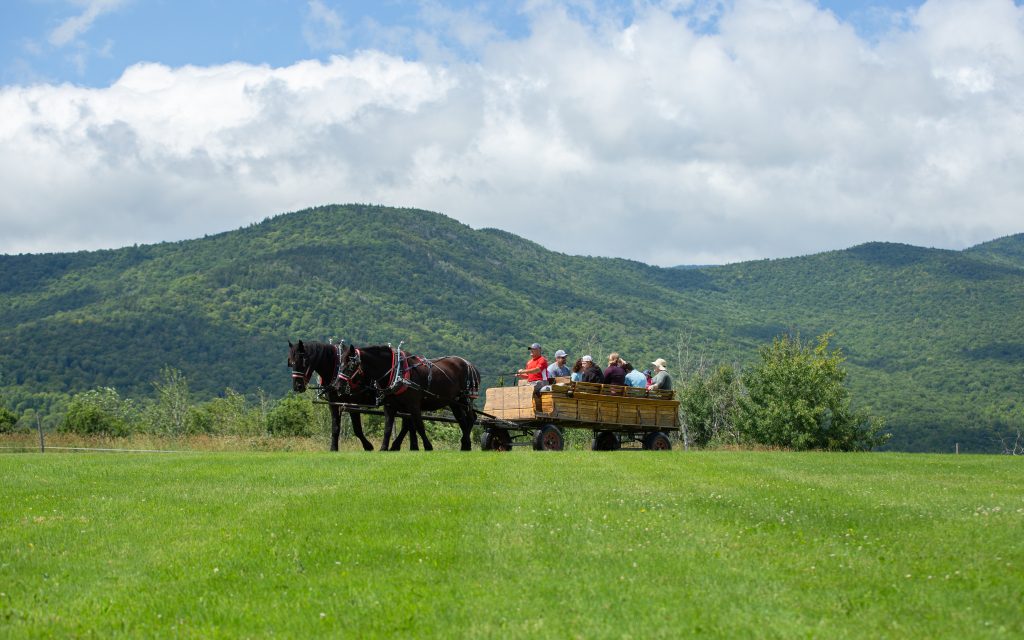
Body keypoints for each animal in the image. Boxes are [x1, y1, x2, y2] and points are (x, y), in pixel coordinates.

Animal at [288, 339, 419, 448]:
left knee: (408, 423)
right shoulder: (333, 403)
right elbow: (335, 428)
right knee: (409, 422)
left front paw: (368, 446)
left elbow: (357, 429)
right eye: (291, 363)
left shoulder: (352, 403)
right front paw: (333, 448)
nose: (297, 386)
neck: (335, 368)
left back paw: (399, 445)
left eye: (303, 362)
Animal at [333, 344, 481, 448]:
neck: (398, 372)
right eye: (340, 363)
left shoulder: (414, 405)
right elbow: (388, 429)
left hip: (465, 398)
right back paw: (465, 445)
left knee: (471, 418)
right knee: (463, 421)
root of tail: (470, 365)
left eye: (351, 365)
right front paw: (383, 448)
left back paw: (465, 441)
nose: (338, 386)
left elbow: (419, 426)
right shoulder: (390, 406)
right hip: (454, 402)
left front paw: (428, 447)